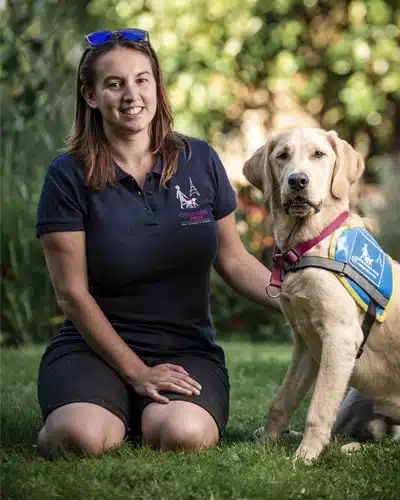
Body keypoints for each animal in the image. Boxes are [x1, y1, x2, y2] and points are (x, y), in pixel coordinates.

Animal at [244, 128, 400, 460]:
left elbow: (318, 408)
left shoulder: (339, 339)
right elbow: (282, 400)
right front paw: (268, 442)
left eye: (318, 154)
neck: (306, 244)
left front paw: (304, 457)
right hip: (354, 396)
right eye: (282, 156)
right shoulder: (306, 343)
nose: (297, 181)